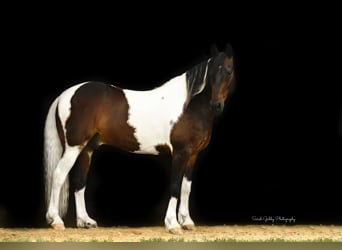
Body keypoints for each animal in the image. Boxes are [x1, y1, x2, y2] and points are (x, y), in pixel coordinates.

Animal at [43, 43, 235, 234]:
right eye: (211, 73)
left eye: (229, 71)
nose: (216, 105)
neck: (187, 106)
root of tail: (64, 95)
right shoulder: (180, 153)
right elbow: (175, 186)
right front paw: (173, 224)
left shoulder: (193, 154)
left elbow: (186, 187)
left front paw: (187, 221)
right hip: (73, 148)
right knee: (59, 175)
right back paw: (56, 220)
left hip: (86, 149)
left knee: (79, 182)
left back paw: (85, 221)